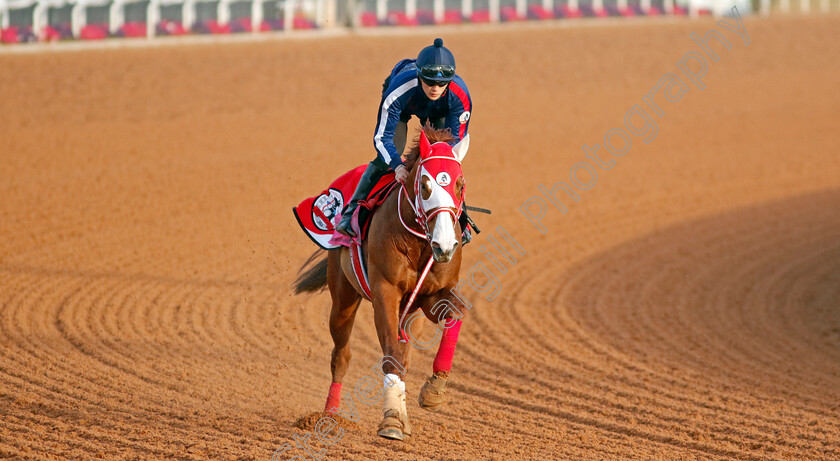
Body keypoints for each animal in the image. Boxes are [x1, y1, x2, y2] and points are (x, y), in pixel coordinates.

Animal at [292, 125, 470, 438]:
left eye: (460, 185)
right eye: (424, 185)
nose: (446, 245)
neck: (419, 243)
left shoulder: (433, 295)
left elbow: (456, 315)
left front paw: (434, 389)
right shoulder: (385, 291)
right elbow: (390, 354)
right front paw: (392, 420)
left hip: (411, 317)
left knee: (405, 351)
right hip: (343, 298)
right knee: (341, 355)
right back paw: (329, 416)